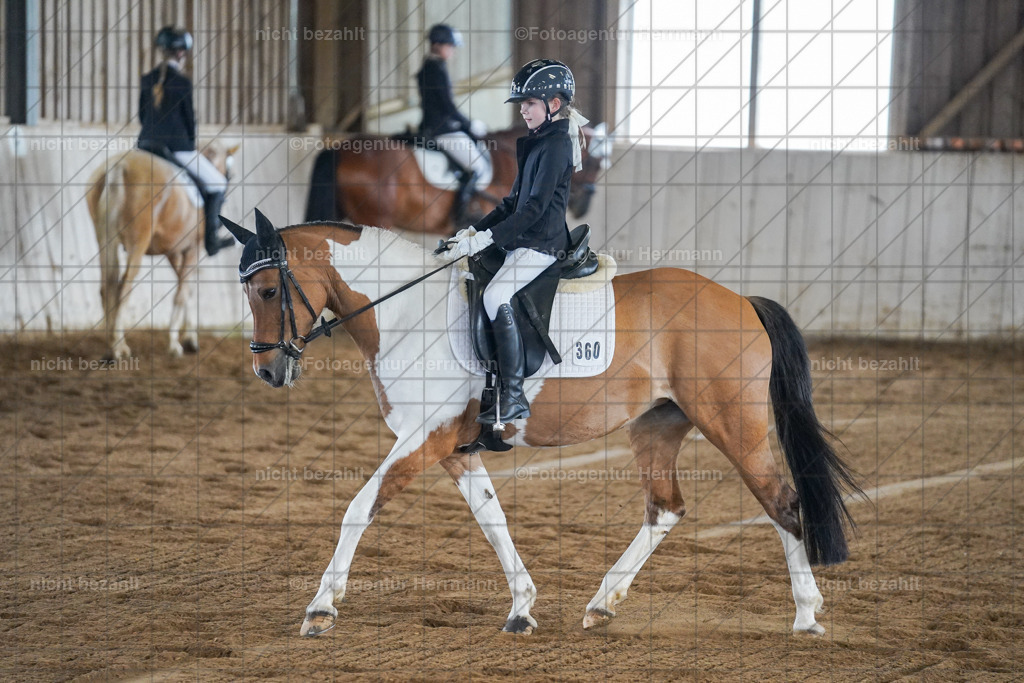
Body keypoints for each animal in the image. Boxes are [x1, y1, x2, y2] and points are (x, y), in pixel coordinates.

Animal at [84, 142, 240, 360]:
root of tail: (119, 165)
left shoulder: (173, 252)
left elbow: (186, 289)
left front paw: (190, 339)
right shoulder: (192, 248)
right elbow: (182, 293)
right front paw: (175, 344)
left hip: (105, 239)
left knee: (107, 286)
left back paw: (112, 347)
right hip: (138, 243)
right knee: (124, 288)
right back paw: (119, 348)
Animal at [219, 210, 861, 638]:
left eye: (269, 289)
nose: (268, 371)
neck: (407, 314)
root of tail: (742, 301)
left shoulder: (425, 438)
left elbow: (359, 507)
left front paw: (320, 607)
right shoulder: (455, 448)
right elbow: (492, 519)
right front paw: (522, 608)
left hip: (733, 425)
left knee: (781, 502)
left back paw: (807, 616)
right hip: (656, 425)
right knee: (666, 508)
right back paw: (603, 603)